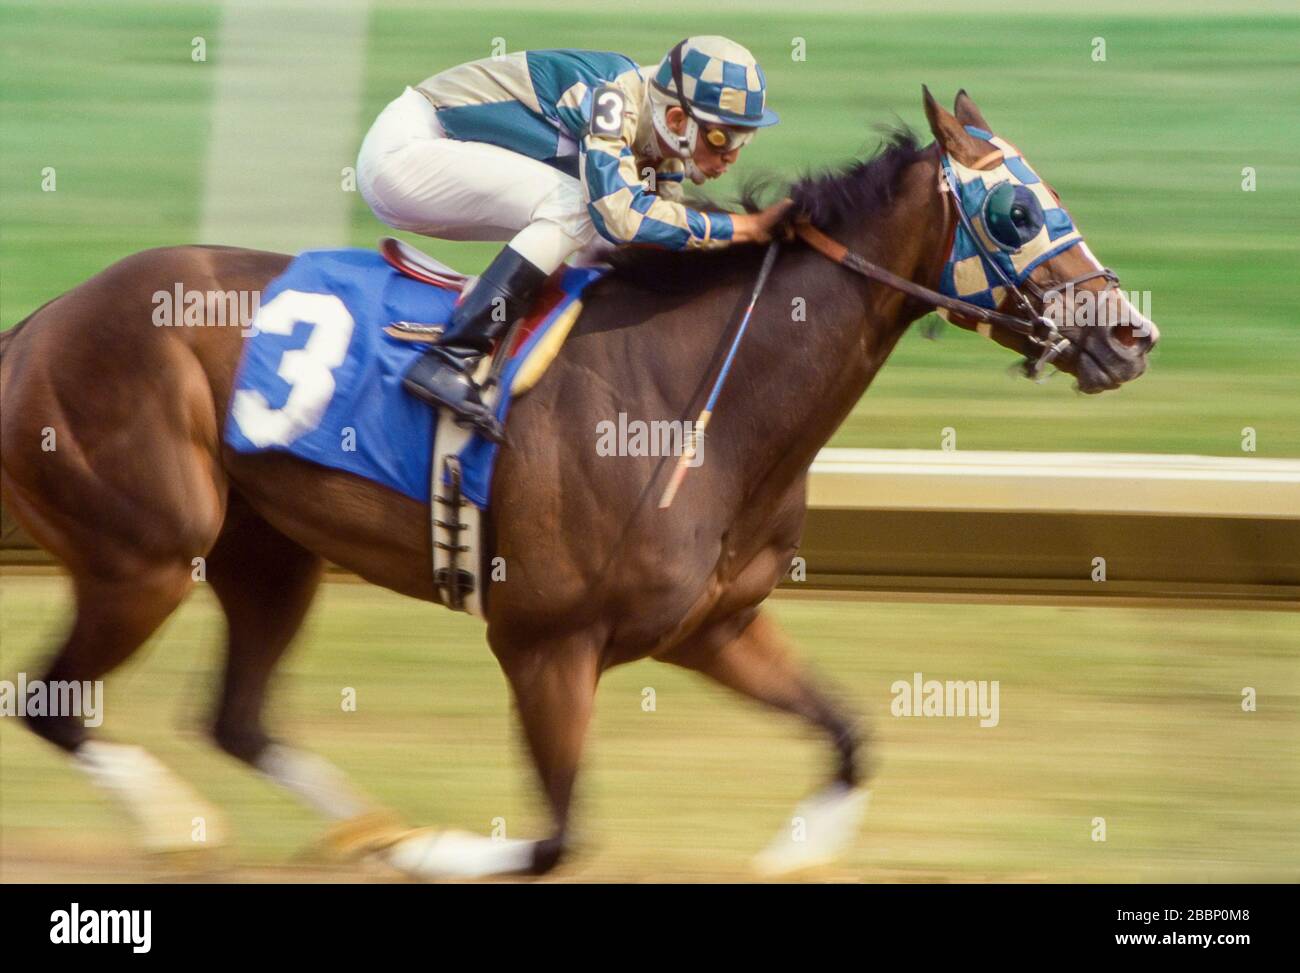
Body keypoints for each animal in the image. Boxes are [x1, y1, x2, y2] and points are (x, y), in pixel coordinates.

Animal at [0, 91, 1159, 879]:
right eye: (1013, 213)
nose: (1130, 334)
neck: (695, 399)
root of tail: (41, 319)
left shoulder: (715, 627)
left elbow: (846, 735)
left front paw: (793, 851)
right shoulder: (545, 642)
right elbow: (558, 836)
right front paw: (443, 851)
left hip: (266, 550)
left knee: (234, 718)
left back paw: (367, 827)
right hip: (148, 551)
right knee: (51, 702)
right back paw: (189, 825)